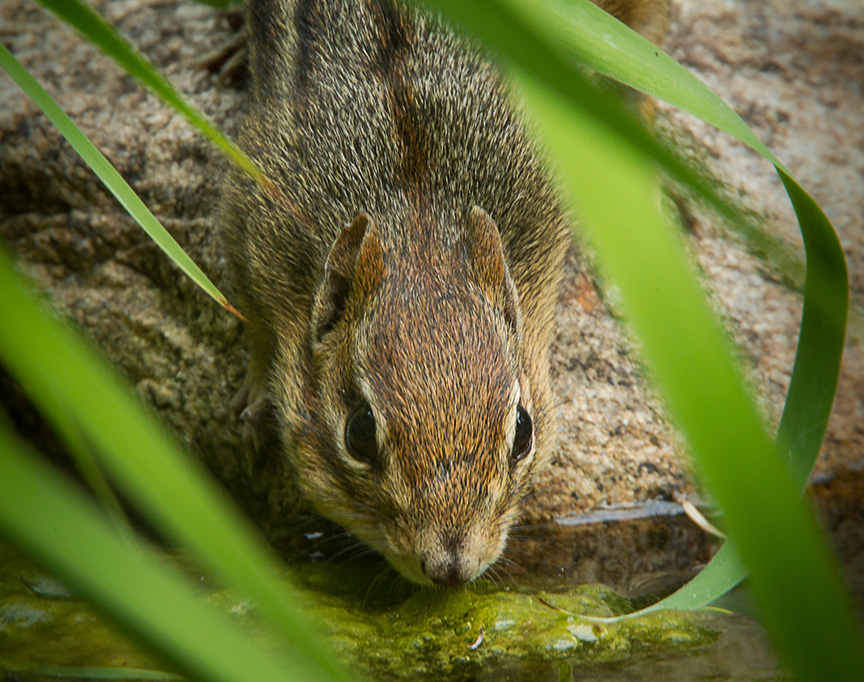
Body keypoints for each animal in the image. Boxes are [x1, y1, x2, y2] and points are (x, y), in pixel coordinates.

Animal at [221, 0, 667, 587]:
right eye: (359, 433)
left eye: (523, 431)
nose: (452, 567)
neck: (419, 220)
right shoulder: (252, 202)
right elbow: (247, 309)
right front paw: (254, 403)